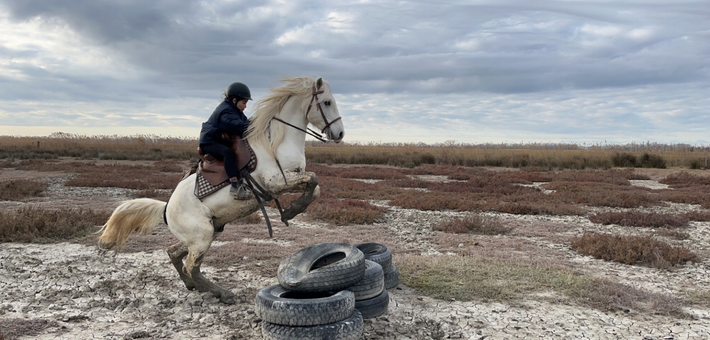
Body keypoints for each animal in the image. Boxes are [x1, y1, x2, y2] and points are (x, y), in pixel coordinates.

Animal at [97, 76, 344, 302]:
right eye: (327, 102)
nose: (340, 134)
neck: (275, 142)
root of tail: (166, 208)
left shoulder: (289, 179)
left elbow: (315, 187)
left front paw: (292, 210)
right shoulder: (276, 182)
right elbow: (313, 179)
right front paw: (292, 210)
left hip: (206, 233)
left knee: (175, 254)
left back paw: (193, 286)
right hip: (202, 236)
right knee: (191, 267)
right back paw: (223, 293)